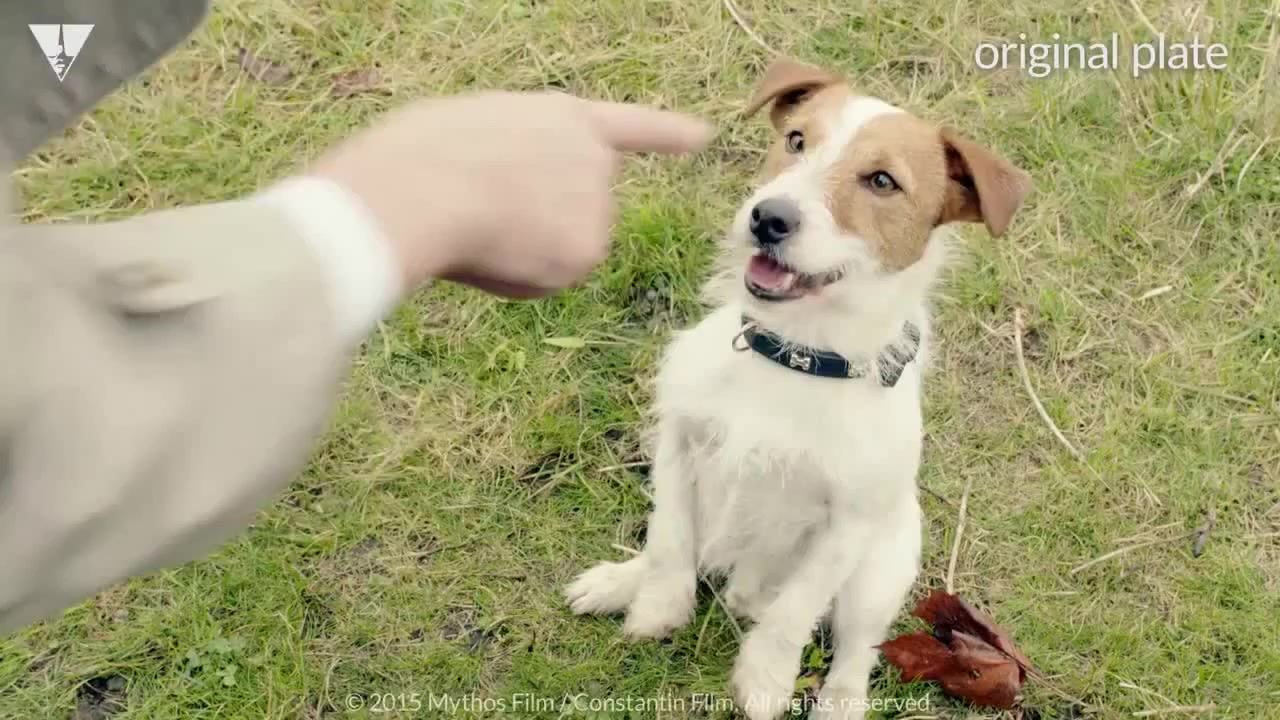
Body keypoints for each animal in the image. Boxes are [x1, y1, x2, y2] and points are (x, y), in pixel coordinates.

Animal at [565, 59, 1031, 720]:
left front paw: (764, 677)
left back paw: (839, 700)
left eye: (882, 181)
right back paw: (619, 581)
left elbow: (795, 610)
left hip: (880, 574)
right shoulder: (680, 440)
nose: (769, 217)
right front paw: (657, 604)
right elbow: (668, 535)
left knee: (856, 645)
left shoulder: (847, 526)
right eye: (795, 140)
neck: (795, 356)